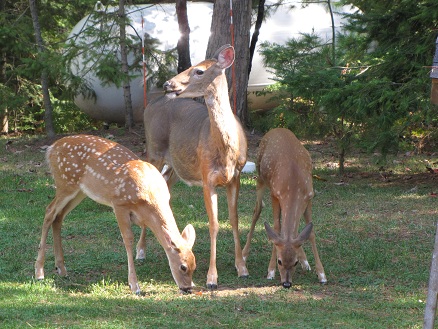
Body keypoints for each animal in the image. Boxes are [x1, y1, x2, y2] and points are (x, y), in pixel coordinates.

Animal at [35, 135, 196, 294]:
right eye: (183, 267)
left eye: (194, 266)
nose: (188, 288)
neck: (149, 198)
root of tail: (51, 148)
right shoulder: (119, 205)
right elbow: (128, 239)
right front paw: (134, 285)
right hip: (65, 183)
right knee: (49, 212)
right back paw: (39, 272)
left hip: (80, 191)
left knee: (59, 217)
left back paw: (61, 268)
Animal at [143, 44, 248, 288]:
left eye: (199, 71)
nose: (167, 84)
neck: (226, 150)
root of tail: (150, 104)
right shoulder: (207, 178)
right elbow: (214, 224)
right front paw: (212, 277)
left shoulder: (236, 177)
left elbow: (235, 219)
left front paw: (242, 267)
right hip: (153, 150)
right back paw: (140, 251)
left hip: (174, 166)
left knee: (165, 188)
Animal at [241, 128, 326, 288]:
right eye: (279, 261)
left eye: (295, 262)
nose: (286, 283)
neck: (293, 186)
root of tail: (277, 129)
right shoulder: (275, 194)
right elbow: (276, 228)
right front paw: (270, 271)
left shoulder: (309, 197)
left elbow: (310, 232)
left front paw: (321, 274)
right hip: (260, 176)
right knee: (257, 210)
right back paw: (243, 255)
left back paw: (306, 262)